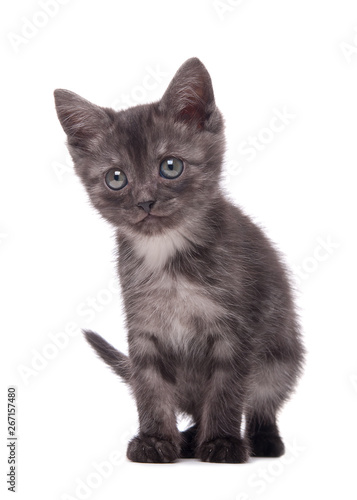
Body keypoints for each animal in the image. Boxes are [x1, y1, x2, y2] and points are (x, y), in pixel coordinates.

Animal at [55, 56, 304, 462]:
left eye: (170, 166)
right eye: (116, 178)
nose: (145, 201)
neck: (167, 254)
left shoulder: (234, 330)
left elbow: (226, 389)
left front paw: (222, 442)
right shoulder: (143, 328)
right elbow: (150, 387)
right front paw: (155, 439)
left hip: (281, 356)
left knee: (263, 402)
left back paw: (261, 439)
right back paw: (189, 438)